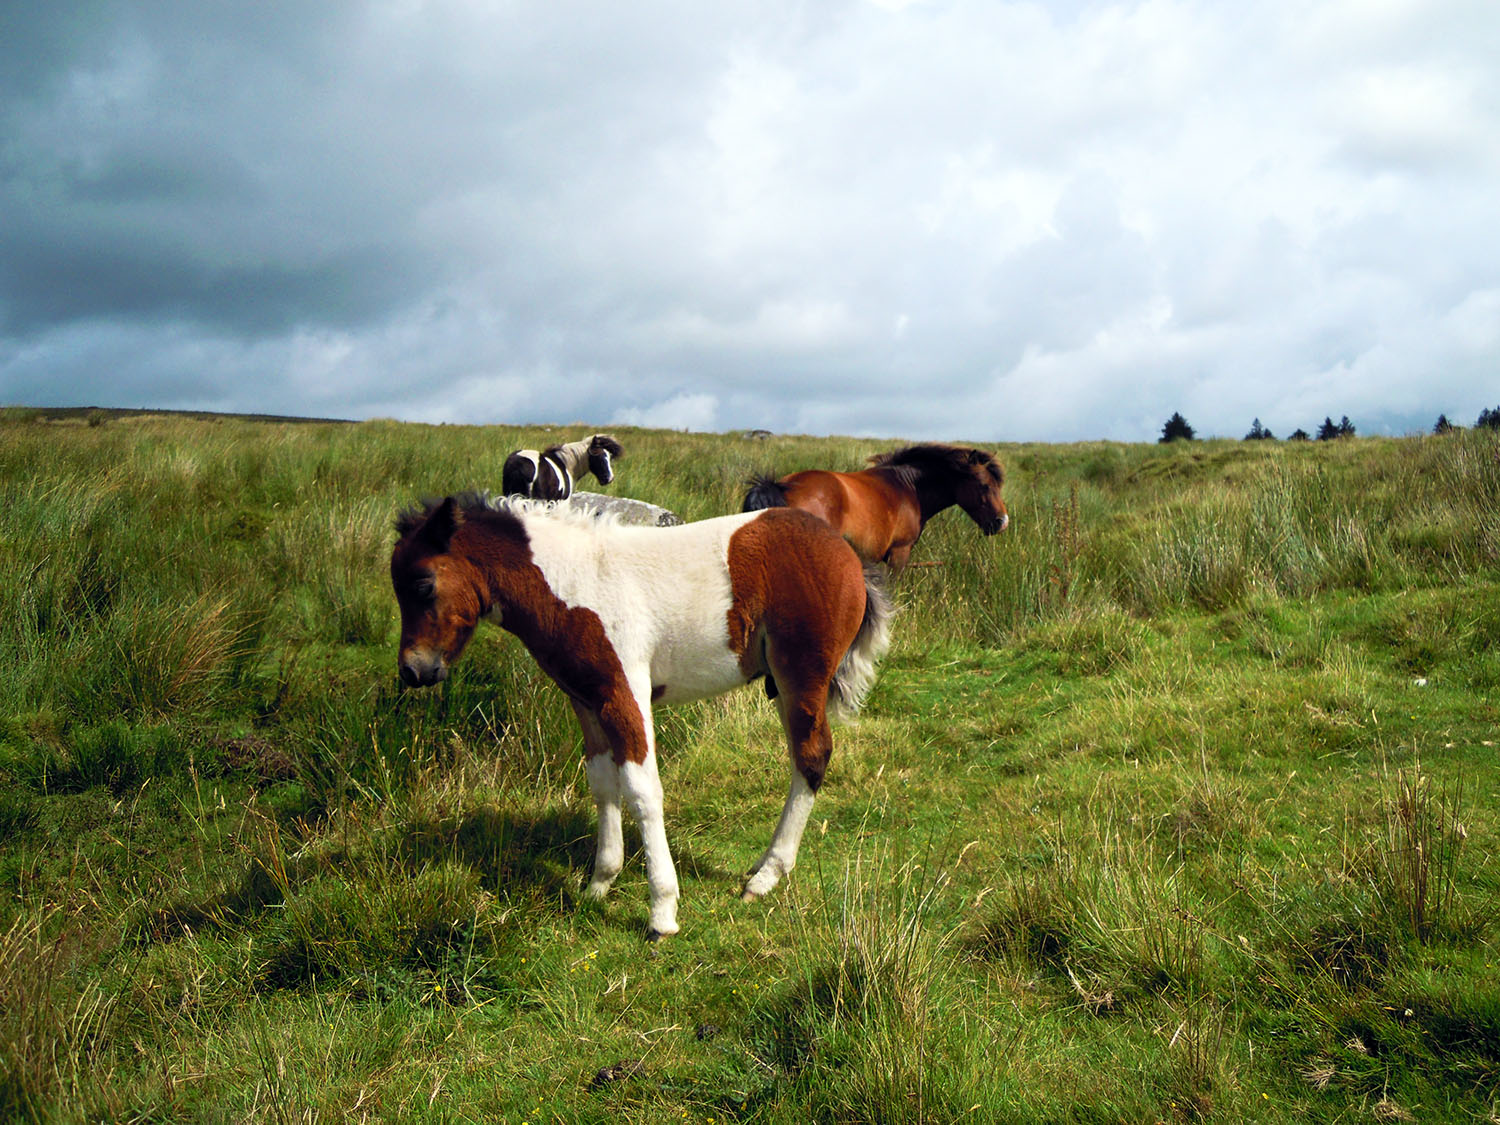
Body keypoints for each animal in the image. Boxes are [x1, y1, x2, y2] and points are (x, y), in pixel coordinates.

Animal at [391, 493, 892, 940]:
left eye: (423, 585)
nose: (414, 671)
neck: (573, 584)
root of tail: (847, 554)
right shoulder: (588, 701)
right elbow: (602, 784)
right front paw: (598, 885)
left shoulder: (624, 691)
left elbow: (642, 790)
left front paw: (662, 912)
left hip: (801, 677)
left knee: (811, 757)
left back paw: (766, 876)